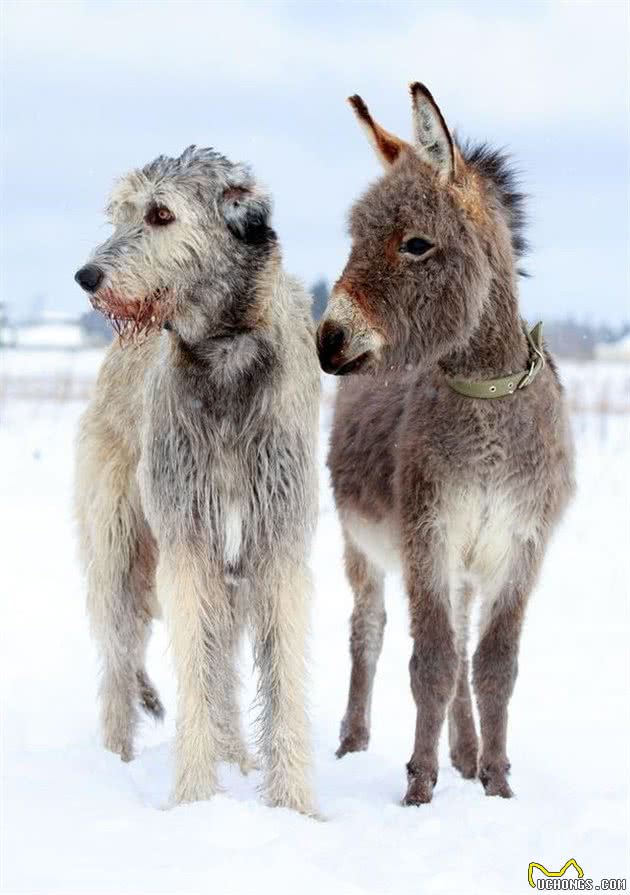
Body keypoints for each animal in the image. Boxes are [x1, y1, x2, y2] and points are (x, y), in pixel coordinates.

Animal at [74, 144, 320, 816]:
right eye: (120, 212)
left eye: (161, 213)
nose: (87, 277)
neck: (223, 353)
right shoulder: (185, 541)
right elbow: (193, 671)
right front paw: (193, 801)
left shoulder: (278, 543)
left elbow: (282, 677)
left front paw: (295, 806)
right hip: (120, 546)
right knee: (120, 657)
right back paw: (113, 762)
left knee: (224, 663)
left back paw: (237, 756)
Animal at [318, 87, 576, 808]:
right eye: (354, 237)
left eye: (415, 244)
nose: (327, 340)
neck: (486, 393)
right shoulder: (426, 535)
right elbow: (428, 661)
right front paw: (419, 788)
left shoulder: (520, 546)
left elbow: (492, 665)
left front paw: (496, 781)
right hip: (365, 547)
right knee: (368, 631)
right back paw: (354, 743)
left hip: (466, 561)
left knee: (462, 643)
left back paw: (465, 753)